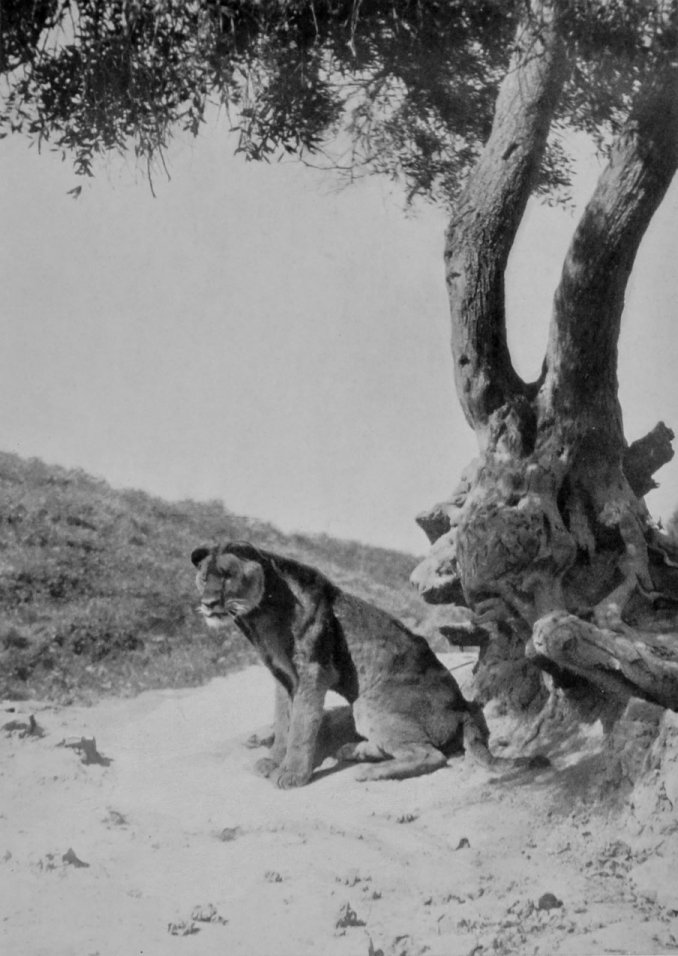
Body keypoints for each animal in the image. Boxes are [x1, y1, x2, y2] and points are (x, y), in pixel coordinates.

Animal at [191, 541, 545, 788]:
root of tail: (463, 708)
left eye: (227, 577)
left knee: (430, 754)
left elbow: (301, 728)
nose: (207, 604)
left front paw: (291, 774)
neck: (259, 617)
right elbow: (283, 722)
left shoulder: (313, 674)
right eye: (204, 578)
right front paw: (272, 760)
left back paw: (365, 769)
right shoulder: (283, 677)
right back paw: (355, 751)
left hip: (368, 703)